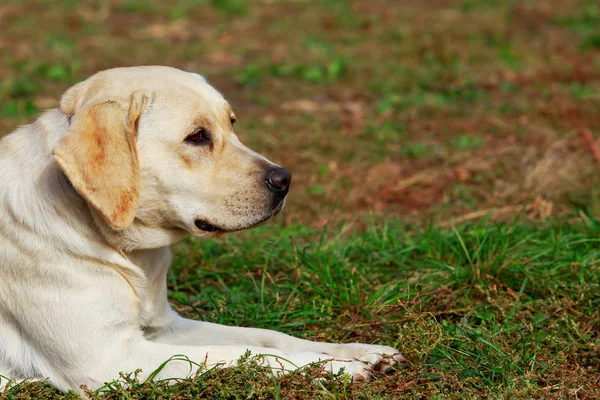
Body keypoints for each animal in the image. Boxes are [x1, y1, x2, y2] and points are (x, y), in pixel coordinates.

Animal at [1, 67, 404, 392]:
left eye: (232, 123)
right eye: (197, 137)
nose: (285, 179)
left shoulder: (164, 326)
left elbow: (269, 337)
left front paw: (360, 351)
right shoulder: (106, 361)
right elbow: (244, 352)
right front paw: (337, 367)